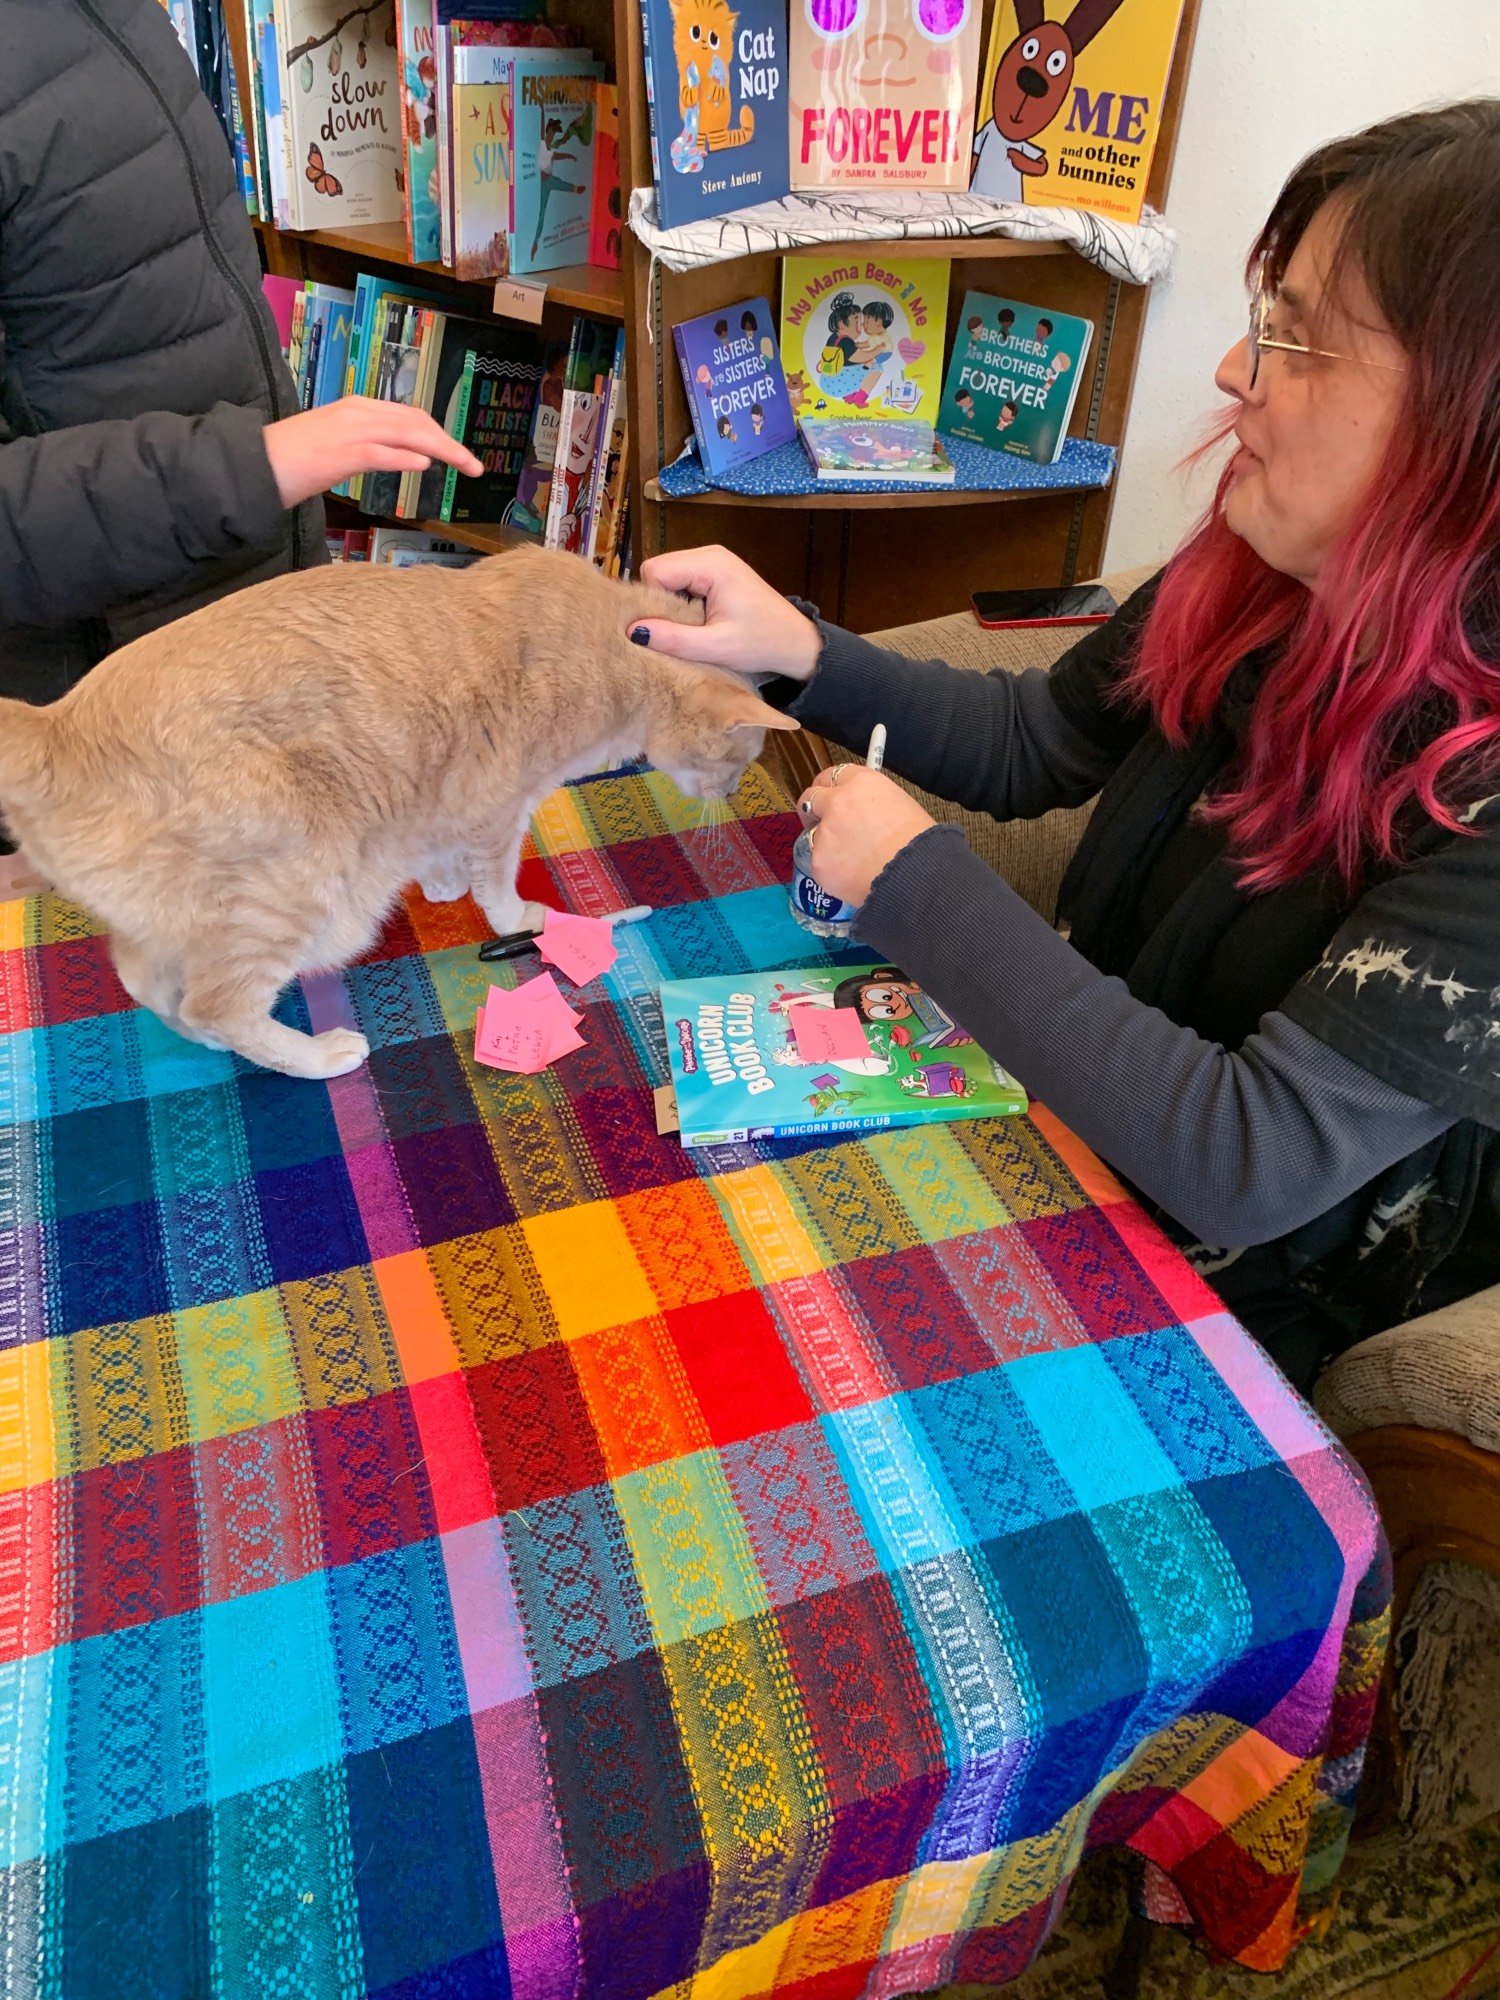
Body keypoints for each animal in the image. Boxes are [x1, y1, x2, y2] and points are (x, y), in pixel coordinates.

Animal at [0, 547, 799, 1081]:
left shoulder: (441, 792)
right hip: (298, 893)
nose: (733, 793)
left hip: (182, 920)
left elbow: (439, 848)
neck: (613, 646)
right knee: (215, 1002)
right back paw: (316, 1056)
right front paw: (519, 916)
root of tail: (52, 725)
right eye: (741, 758)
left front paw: (441, 884)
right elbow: (498, 888)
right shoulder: (499, 803)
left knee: (148, 982)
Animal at [670, 0, 755, 151]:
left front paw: (714, 89)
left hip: (717, 131)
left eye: (714, 38)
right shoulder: (683, 77)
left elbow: (721, 88)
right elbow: (686, 93)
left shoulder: (725, 76)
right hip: (698, 134)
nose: (704, 42)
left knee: (718, 145)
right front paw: (693, 91)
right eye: (695, 32)